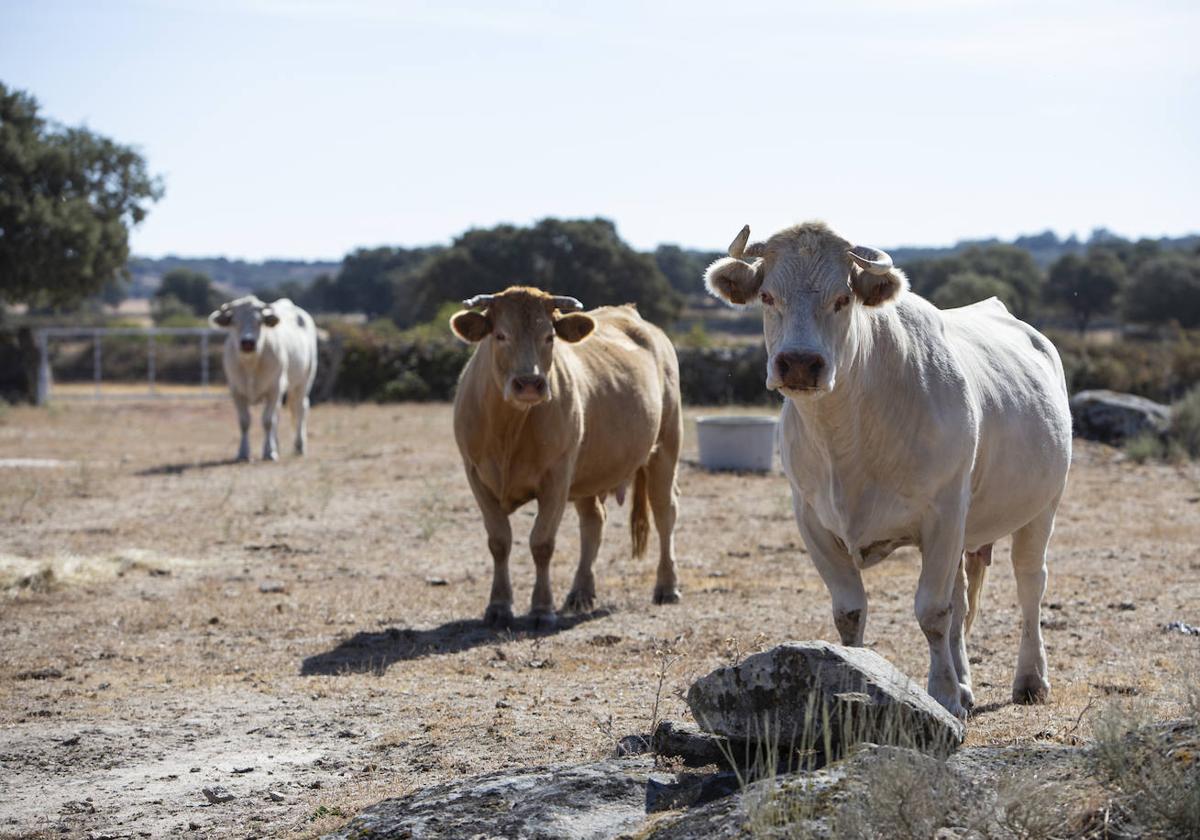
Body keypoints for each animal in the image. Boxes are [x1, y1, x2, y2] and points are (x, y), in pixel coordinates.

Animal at [210, 295, 319, 463]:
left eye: (259, 321)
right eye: (234, 321)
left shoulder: (274, 388)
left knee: (301, 408)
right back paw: (277, 445)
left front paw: (270, 453)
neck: (251, 364)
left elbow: (267, 421)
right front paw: (243, 453)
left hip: (305, 379)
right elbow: (244, 422)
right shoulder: (236, 391)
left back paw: (299, 446)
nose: (247, 342)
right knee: (279, 415)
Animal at [448, 285, 681, 628]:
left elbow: (542, 542)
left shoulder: (556, 477)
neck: (509, 429)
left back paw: (667, 586)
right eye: (500, 335)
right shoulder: (476, 474)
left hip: (665, 446)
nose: (529, 383)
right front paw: (499, 606)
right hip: (588, 470)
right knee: (594, 522)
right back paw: (580, 592)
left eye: (549, 336)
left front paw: (542, 609)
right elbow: (499, 541)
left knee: (665, 512)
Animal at [700, 222, 1075, 715]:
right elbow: (851, 611)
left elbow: (932, 612)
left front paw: (943, 695)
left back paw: (1030, 679)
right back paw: (966, 683)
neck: (847, 440)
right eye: (767, 296)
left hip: (1042, 505)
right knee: (961, 597)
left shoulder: (943, 515)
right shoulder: (811, 519)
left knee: (1030, 583)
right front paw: (858, 673)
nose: (799, 362)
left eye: (843, 298)